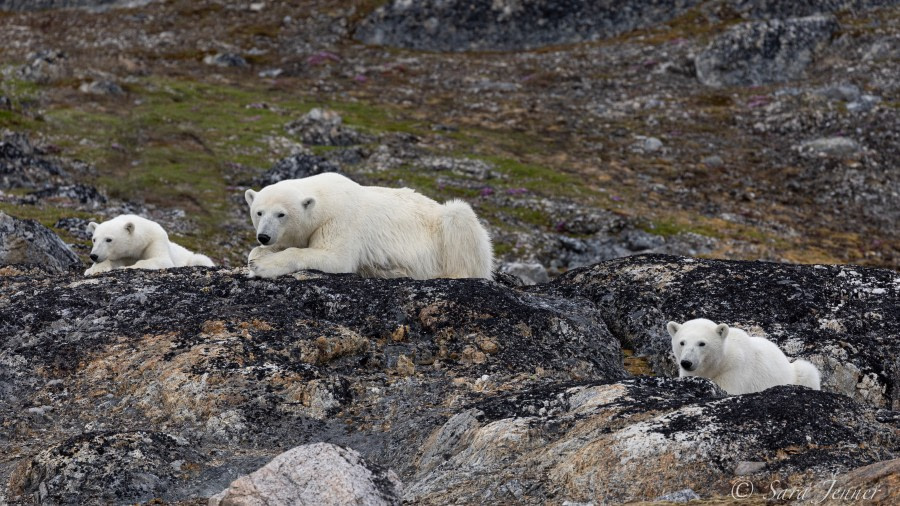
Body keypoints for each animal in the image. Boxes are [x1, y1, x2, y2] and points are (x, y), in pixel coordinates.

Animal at [86, 213, 216, 276]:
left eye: (109, 239)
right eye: (94, 239)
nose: (94, 256)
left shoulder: (155, 240)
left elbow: (161, 260)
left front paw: (125, 268)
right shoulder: (125, 255)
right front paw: (93, 269)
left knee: (200, 259)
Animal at [244, 172, 492, 278]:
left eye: (281, 214)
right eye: (259, 212)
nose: (264, 236)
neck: (326, 197)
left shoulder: (340, 219)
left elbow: (335, 258)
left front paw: (262, 266)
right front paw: (258, 255)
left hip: (449, 227)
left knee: (459, 218)